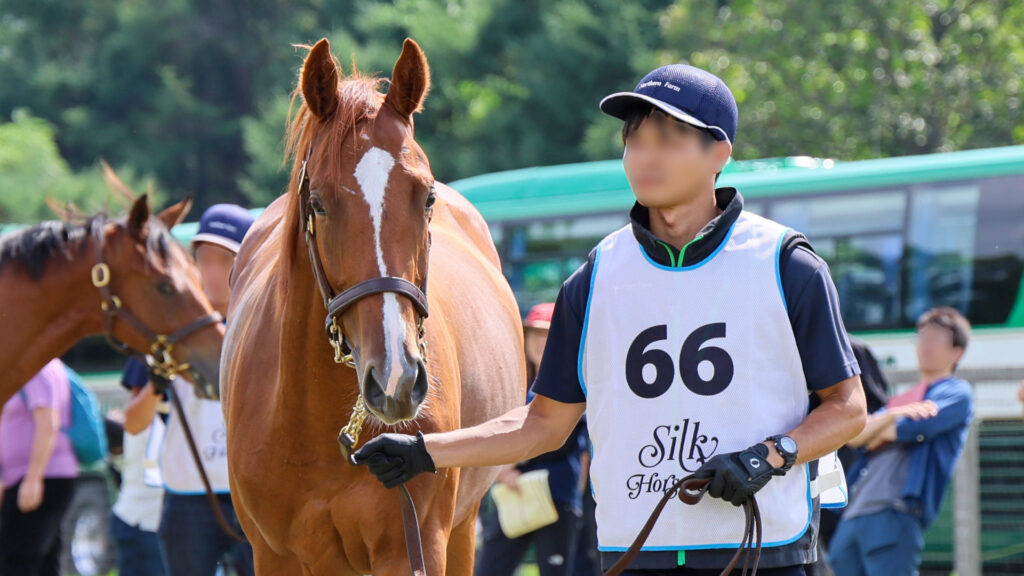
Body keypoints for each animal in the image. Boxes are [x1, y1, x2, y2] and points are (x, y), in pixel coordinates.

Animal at [221, 38, 525, 575]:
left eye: (427, 197)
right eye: (318, 203)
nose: (395, 378)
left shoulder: (410, 548)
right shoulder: (273, 554)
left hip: (463, 528)